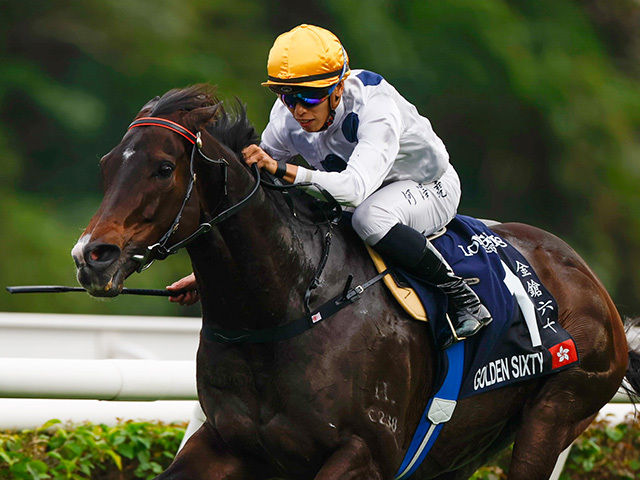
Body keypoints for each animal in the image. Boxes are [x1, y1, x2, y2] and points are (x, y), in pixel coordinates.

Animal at [71, 84, 640, 479]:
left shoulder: (366, 451)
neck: (286, 307)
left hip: (557, 411)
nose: (91, 257)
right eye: (106, 165)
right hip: (461, 447)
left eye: (164, 167)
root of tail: (590, 283)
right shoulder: (227, 444)